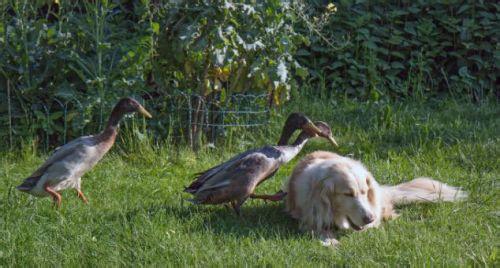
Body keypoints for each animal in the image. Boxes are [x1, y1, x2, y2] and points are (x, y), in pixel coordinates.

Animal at [284, 151, 466, 247]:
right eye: (348, 194)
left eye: (364, 192)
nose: (369, 218)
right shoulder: (309, 219)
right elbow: (319, 230)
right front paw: (331, 241)